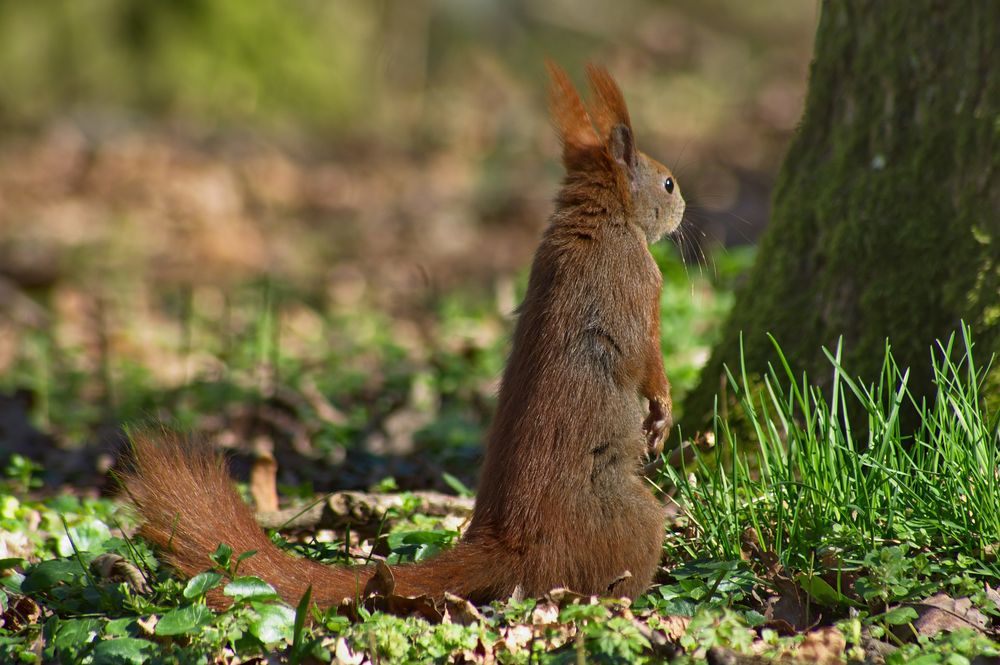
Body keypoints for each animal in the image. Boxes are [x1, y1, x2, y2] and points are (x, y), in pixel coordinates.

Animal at [125, 62, 684, 608]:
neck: (600, 221)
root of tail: (509, 540)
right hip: (635, 520)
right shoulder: (642, 285)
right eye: (669, 184)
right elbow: (648, 360)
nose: (683, 210)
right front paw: (662, 411)